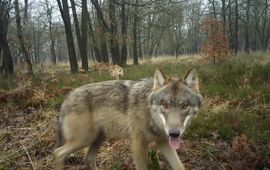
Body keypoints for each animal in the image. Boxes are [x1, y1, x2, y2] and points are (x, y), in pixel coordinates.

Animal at [53, 68, 202, 169]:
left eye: (184, 106)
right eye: (165, 105)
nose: (174, 133)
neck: (148, 111)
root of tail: (67, 97)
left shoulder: (163, 141)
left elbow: (179, 166)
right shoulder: (138, 144)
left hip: (98, 139)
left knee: (88, 160)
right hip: (84, 139)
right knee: (57, 153)